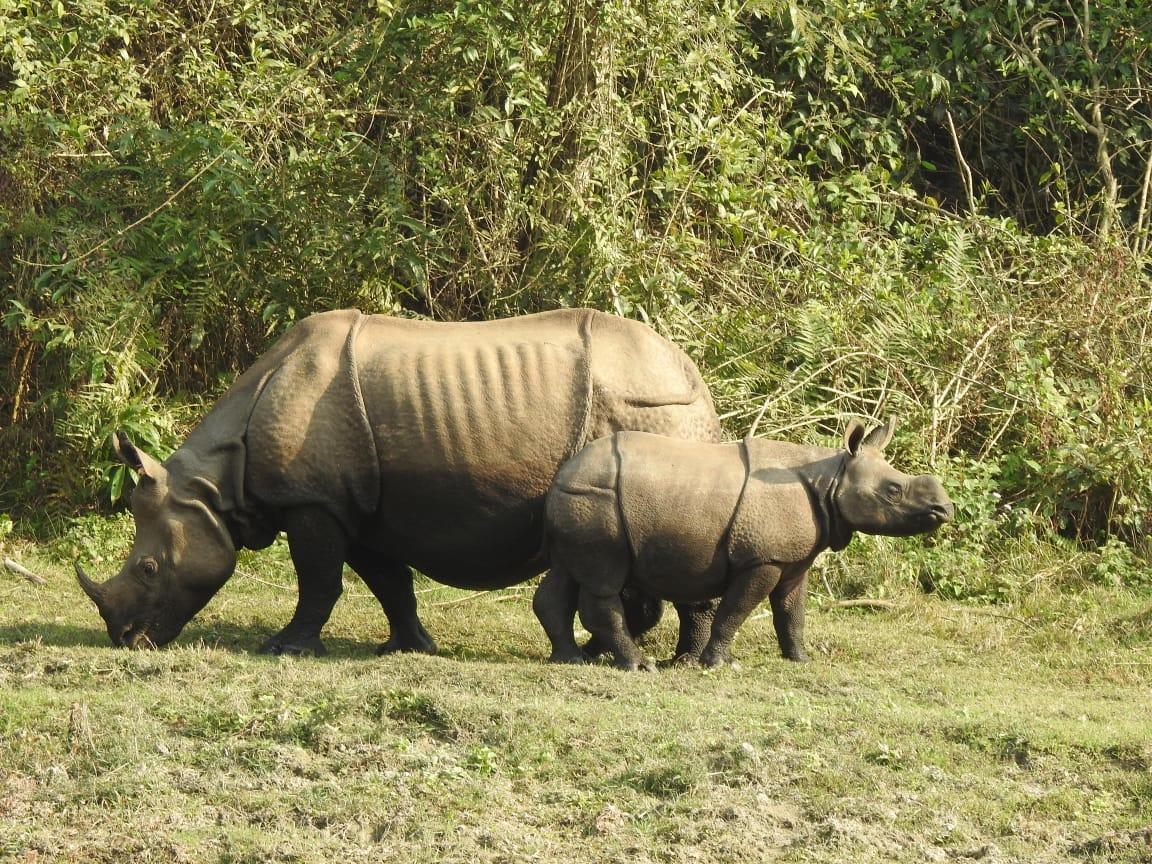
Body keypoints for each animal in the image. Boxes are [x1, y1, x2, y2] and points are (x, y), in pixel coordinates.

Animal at [76, 308, 721, 656]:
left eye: (148, 568)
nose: (125, 639)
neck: (212, 485)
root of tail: (694, 375)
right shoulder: (355, 504)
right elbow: (388, 582)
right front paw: (409, 647)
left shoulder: (313, 501)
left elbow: (318, 581)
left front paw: (285, 648)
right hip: (654, 412)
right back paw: (605, 652)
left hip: (652, 413)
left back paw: (680, 663)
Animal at [534, 419, 954, 670]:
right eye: (893, 491)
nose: (944, 509)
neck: (831, 478)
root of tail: (566, 470)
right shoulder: (762, 558)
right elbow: (736, 610)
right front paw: (720, 663)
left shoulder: (792, 559)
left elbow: (791, 612)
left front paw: (801, 660)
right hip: (598, 499)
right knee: (603, 581)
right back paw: (638, 666)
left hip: (580, 497)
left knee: (566, 574)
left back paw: (570, 659)